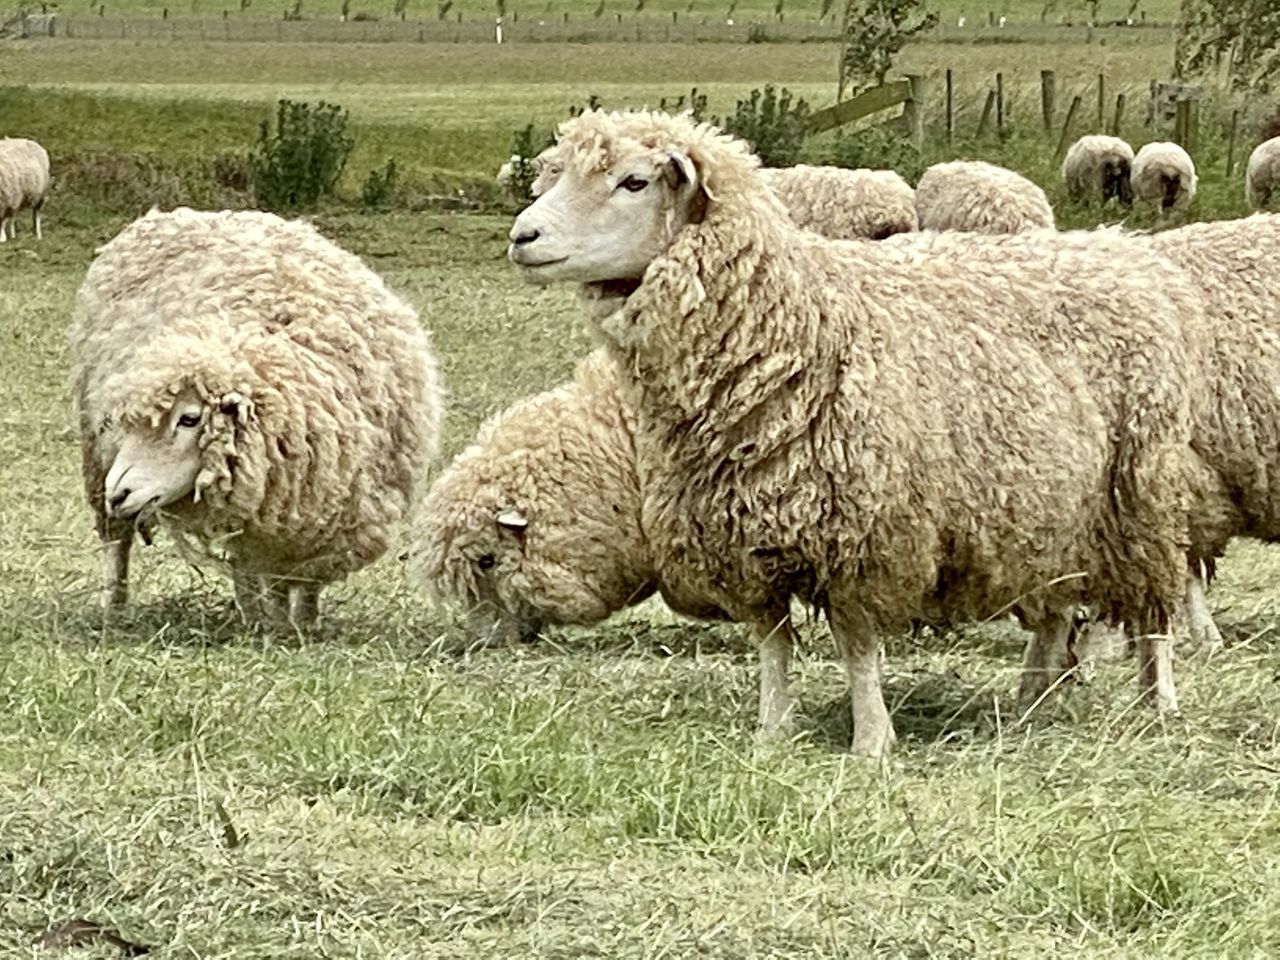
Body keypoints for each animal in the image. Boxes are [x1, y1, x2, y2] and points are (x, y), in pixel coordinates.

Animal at [74, 208, 448, 632]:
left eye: (189, 419)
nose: (119, 493)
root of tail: (174, 214)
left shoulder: (318, 519)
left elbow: (302, 581)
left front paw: (301, 624)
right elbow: (262, 578)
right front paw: (271, 626)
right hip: (97, 457)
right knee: (117, 542)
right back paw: (115, 607)